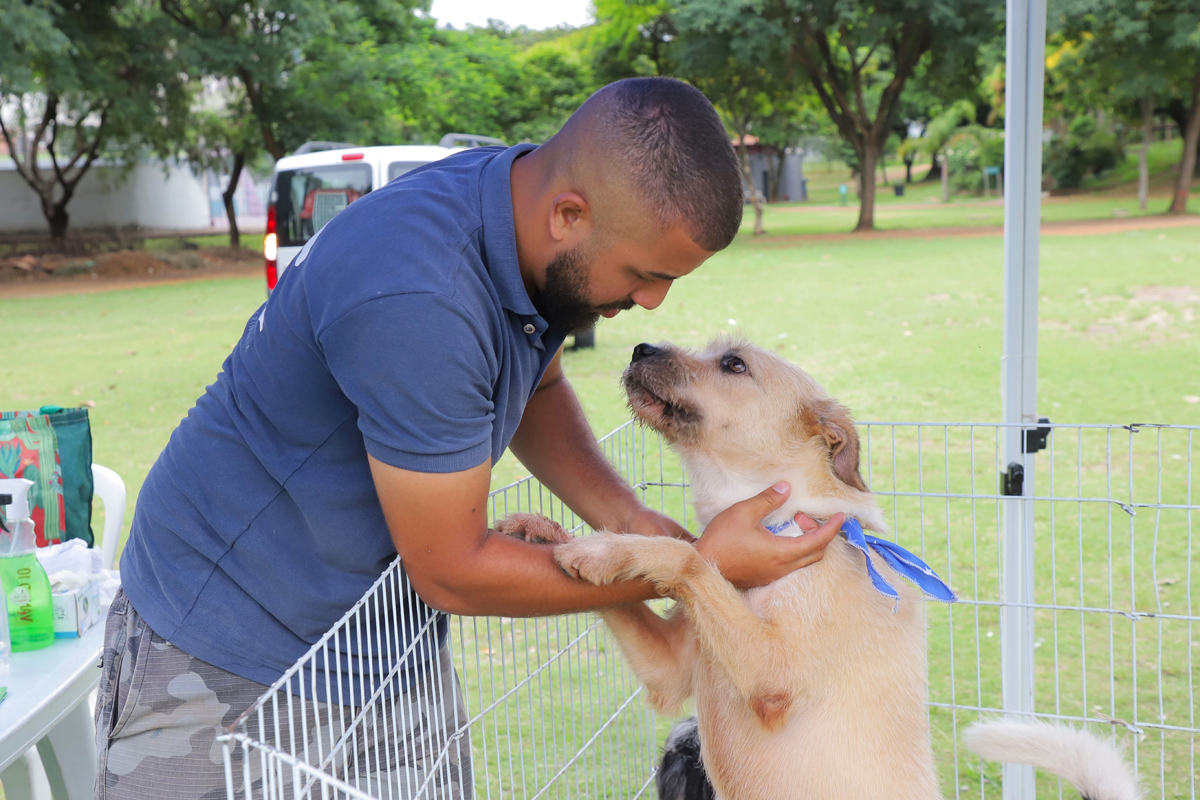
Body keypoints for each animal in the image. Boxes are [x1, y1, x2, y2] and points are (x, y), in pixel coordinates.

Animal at [499, 338, 1142, 800]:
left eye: (733, 363)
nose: (639, 348)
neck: (786, 519)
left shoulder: (772, 674)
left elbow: (688, 554)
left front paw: (603, 551)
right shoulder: (672, 669)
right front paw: (550, 533)